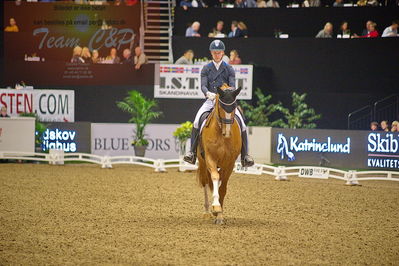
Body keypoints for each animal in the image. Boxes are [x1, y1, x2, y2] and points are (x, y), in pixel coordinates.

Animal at [198, 83, 244, 224]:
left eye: (234, 107)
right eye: (221, 107)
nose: (227, 132)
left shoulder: (229, 163)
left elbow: (222, 187)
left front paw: (219, 215)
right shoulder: (210, 158)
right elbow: (214, 178)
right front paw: (216, 207)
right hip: (202, 163)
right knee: (205, 182)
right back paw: (207, 212)